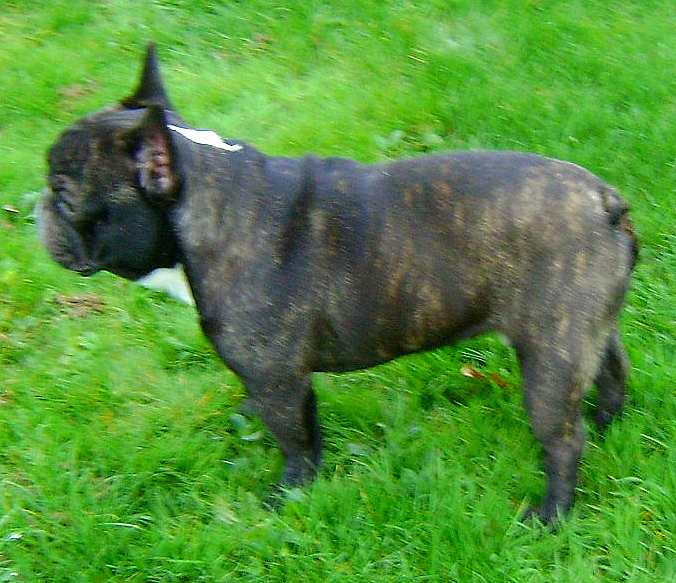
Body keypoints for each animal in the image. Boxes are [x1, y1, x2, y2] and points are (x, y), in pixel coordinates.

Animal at [39, 44, 637, 523]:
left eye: (65, 195)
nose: (38, 205)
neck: (204, 199)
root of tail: (605, 202)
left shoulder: (279, 379)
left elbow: (297, 440)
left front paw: (288, 496)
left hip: (548, 359)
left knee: (563, 440)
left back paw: (551, 515)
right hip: (585, 331)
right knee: (612, 373)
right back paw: (608, 425)